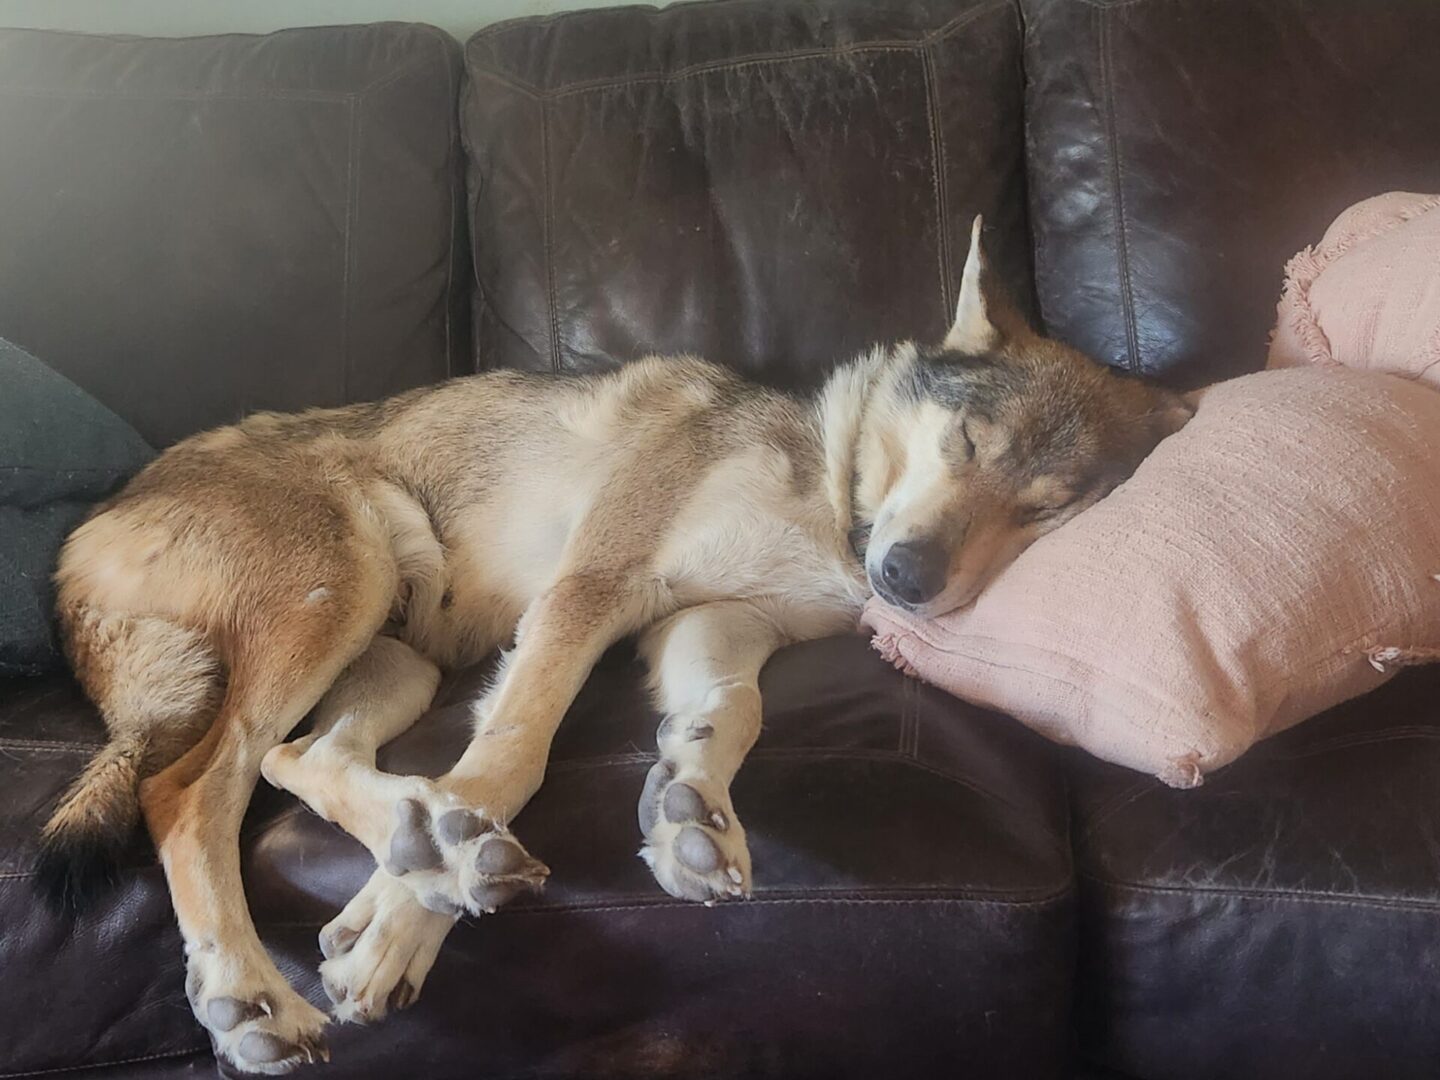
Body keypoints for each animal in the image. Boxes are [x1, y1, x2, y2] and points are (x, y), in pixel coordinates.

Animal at [36, 221, 1192, 1077]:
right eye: (965, 444)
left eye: (1045, 511)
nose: (905, 578)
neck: (823, 494)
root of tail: (83, 538)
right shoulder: (593, 587)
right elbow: (513, 755)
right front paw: (411, 921)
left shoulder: (713, 624)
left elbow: (729, 716)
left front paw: (690, 813)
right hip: (343, 585)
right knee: (192, 789)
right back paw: (259, 986)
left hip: (398, 657)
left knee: (298, 759)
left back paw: (416, 832)